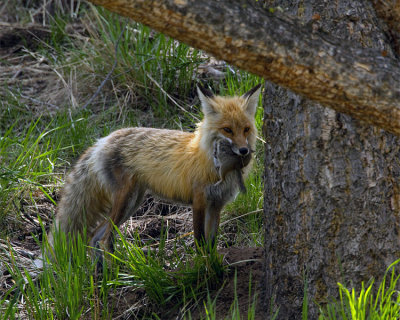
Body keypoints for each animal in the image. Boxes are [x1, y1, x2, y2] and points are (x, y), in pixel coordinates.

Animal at [45, 84, 260, 254]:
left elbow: (212, 242)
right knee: (104, 239)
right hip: (126, 200)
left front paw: (214, 263)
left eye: (246, 129)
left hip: (133, 203)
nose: (244, 150)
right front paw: (204, 268)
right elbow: (200, 241)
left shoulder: (216, 204)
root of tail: (103, 140)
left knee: (95, 237)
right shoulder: (199, 200)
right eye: (227, 130)